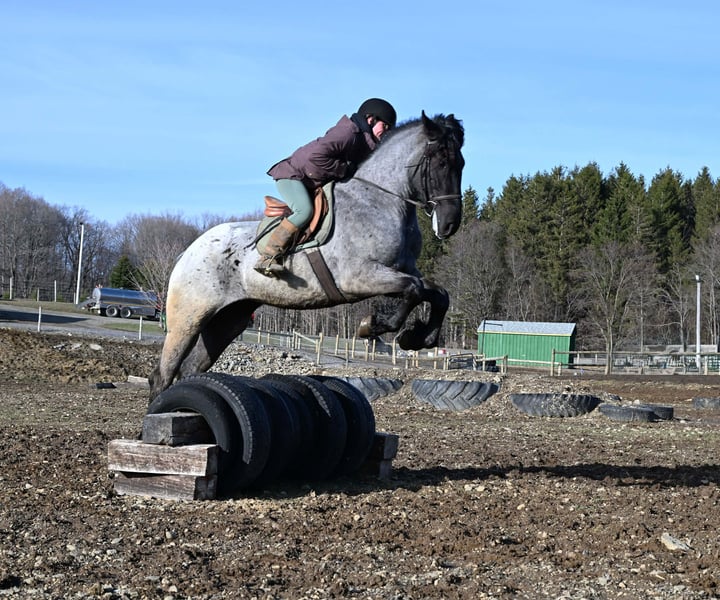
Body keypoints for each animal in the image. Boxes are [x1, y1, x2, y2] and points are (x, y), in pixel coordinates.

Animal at [149, 111, 465, 398]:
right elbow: (413, 290)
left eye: (461, 164)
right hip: (189, 319)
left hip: (228, 320)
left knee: (189, 369)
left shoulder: (404, 269)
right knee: (163, 374)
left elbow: (437, 293)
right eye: (441, 163)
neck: (381, 200)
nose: (450, 225)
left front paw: (418, 337)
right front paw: (373, 326)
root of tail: (187, 252)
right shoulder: (360, 278)